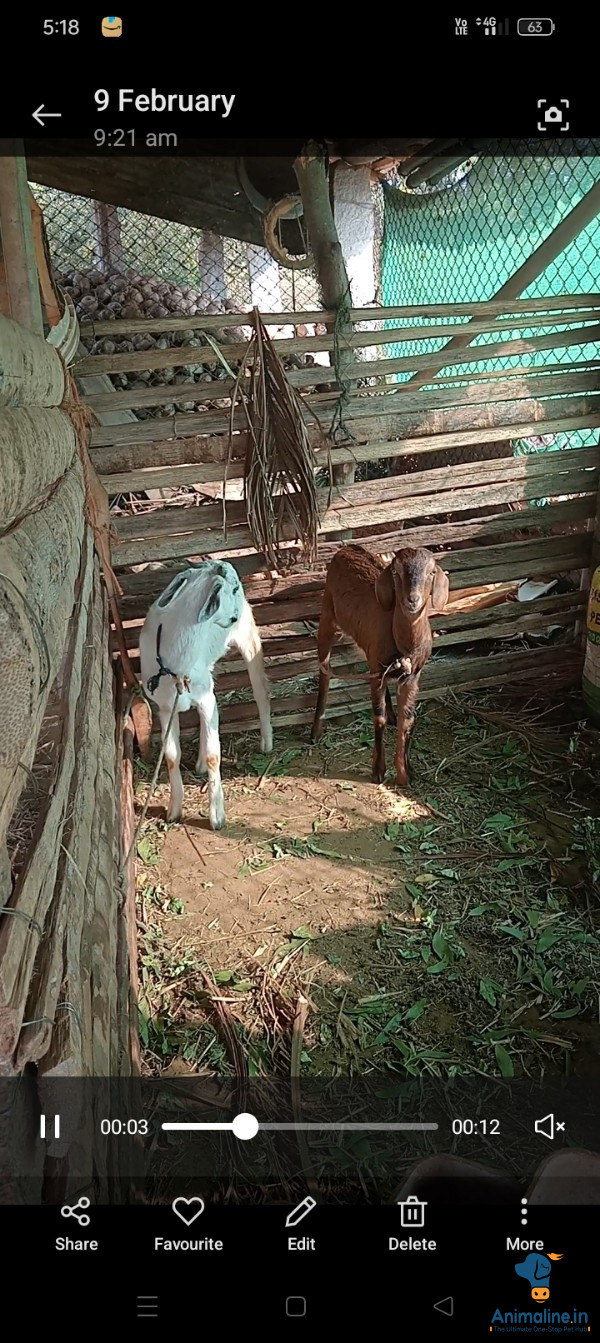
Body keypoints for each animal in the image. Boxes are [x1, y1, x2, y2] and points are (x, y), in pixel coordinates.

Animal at [139, 561, 272, 830]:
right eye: (231, 589)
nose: (233, 615)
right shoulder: (166, 707)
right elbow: (171, 756)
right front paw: (173, 810)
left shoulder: (205, 698)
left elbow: (214, 756)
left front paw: (217, 817)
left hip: (248, 638)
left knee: (260, 689)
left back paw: (267, 742)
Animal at [311, 545, 449, 786]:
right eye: (395, 572)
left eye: (431, 572)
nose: (412, 600)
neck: (403, 647)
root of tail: (347, 547)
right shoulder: (375, 670)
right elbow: (378, 717)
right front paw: (378, 771)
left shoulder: (413, 677)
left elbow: (407, 720)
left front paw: (404, 774)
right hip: (327, 615)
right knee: (325, 671)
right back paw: (316, 730)